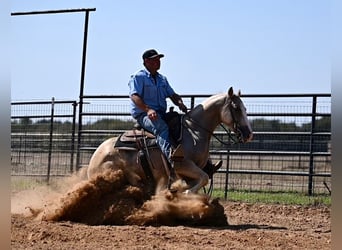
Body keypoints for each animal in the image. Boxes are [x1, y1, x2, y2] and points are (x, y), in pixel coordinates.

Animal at [87, 87, 252, 194]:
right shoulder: (183, 165)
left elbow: (199, 180)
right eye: (236, 108)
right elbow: (203, 178)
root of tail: (94, 159)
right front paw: (184, 193)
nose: (249, 134)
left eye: (245, 109)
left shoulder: (190, 173)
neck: (193, 132)